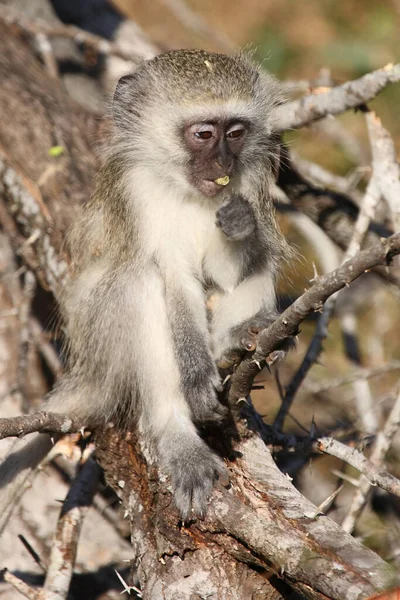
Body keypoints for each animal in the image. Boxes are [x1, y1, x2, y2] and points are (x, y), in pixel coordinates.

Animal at [0, 50, 290, 520]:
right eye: (204, 134)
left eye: (236, 133)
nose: (223, 164)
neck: (184, 188)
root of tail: (87, 369)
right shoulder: (134, 191)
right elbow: (172, 277)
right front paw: (195, 380)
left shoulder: (253, 179)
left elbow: (230, 266)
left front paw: (239, 225)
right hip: (102, 341)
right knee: (138, 280)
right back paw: (177, 432)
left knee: (259, 260)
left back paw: (238, 339)